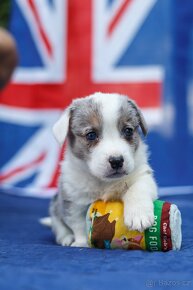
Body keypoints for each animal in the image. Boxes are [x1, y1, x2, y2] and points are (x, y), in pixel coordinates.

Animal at [50, 93, 158, 247]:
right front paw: (81, 243)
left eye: (128, 131)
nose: (117, 161)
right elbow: (77, 223)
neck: (103, 182)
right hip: (54, 208)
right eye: (91, 135)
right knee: (59, 226)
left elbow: (137, 190)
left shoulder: (142, 176)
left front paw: (138, 215)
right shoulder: (73, 198)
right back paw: (66, 238)